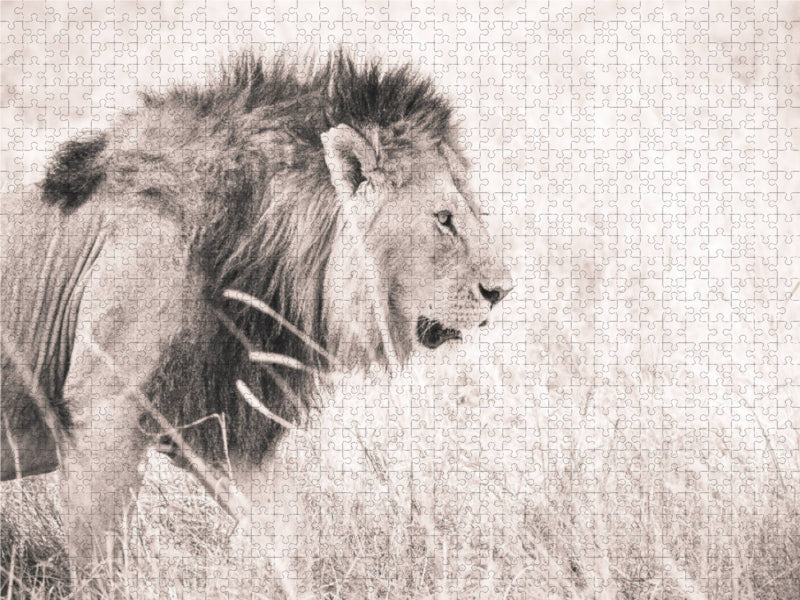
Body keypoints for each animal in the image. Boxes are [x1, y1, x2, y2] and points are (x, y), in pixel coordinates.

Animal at [1, 51, 512, 596]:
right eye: (444, 218)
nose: (502, 291)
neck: (255, 249)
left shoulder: (223, 418)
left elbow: (289, 538)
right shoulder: (102, 412)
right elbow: (101, 566)